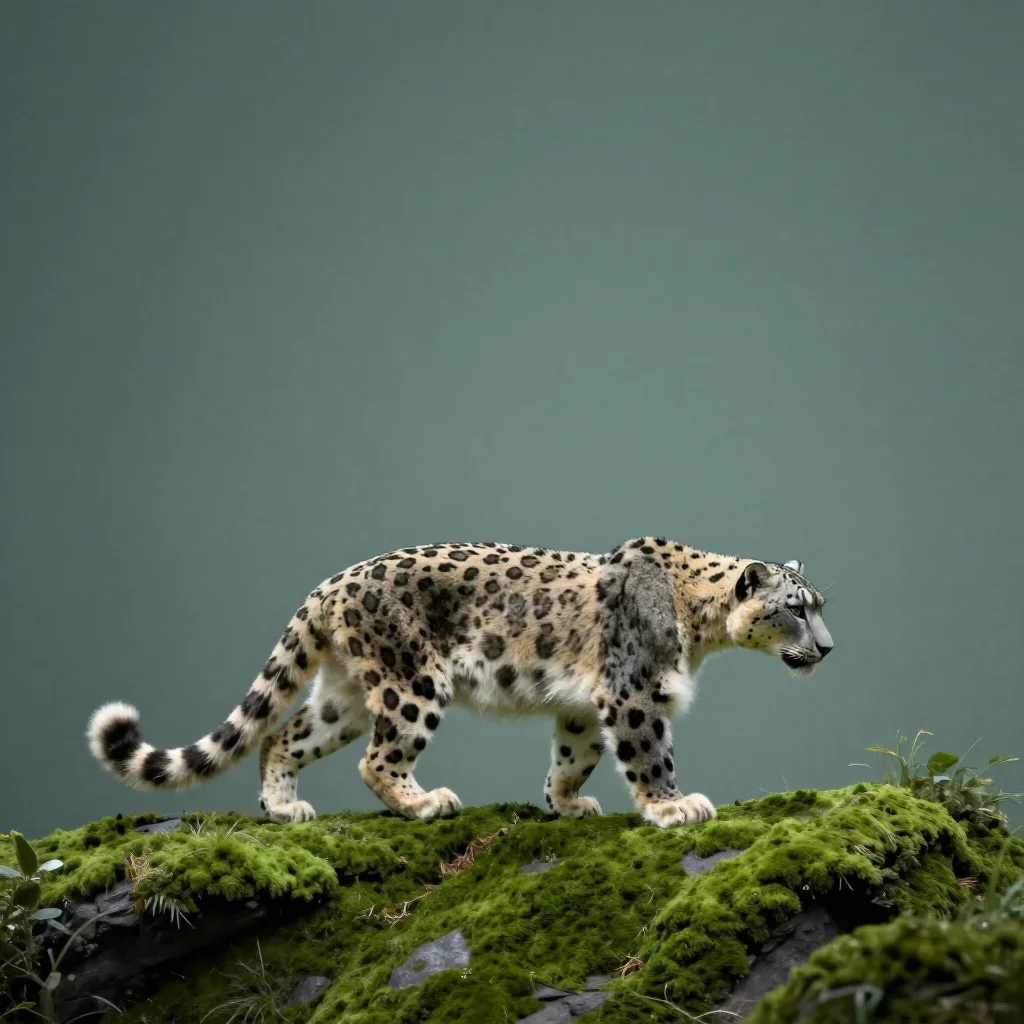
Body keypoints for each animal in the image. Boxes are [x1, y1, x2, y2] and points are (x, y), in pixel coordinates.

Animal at [87, 538, 833, 828]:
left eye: (821, 605)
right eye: (797, 608)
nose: (828, 648)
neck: (698, 625)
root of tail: (330, 584)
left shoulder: (586, 707)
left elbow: (574, 754)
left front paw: (566, 803)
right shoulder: (633, 694)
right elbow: (651, 756)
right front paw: (673, 807)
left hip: (345, 695)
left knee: (282, 735)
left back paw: (284, 808)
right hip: (412, 685)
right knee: (376, 759)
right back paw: (425, 802)